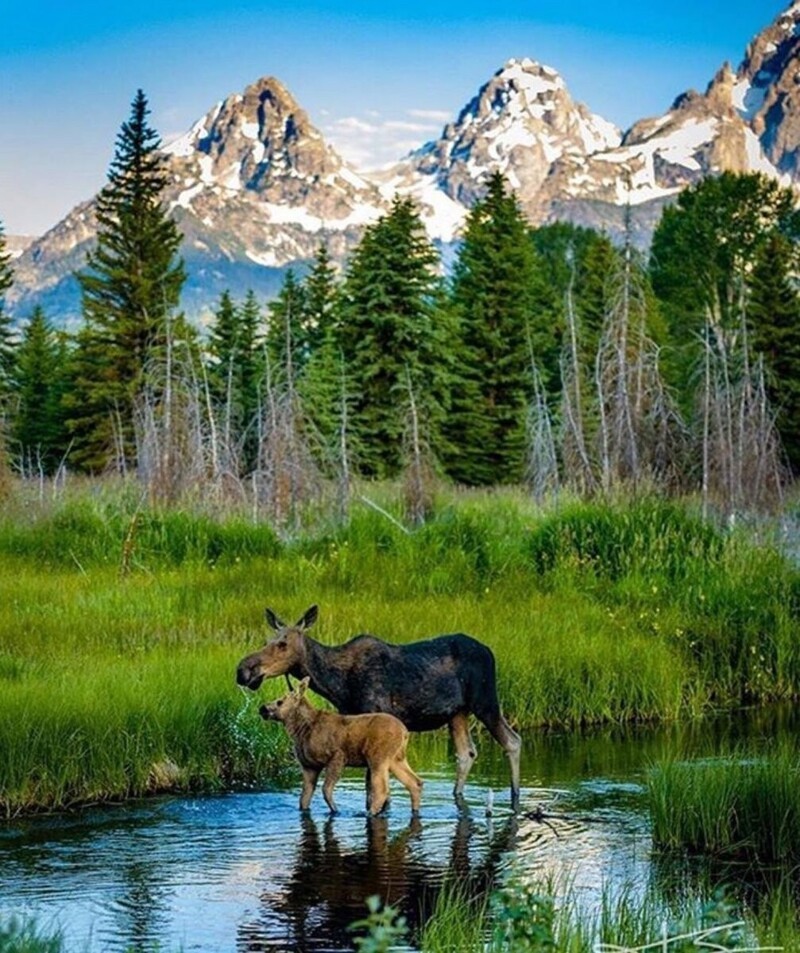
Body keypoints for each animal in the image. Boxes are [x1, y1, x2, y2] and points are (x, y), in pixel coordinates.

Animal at [262, 672, 424, 816]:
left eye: (280, 701)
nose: (262, 709)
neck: (300, 730)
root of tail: (405, 732)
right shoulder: (309, 766)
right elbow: (304, 800)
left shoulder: (337, 756)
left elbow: (326, 790)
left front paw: (336, 810)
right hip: (396, 758)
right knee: (415, 782)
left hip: (378, 757)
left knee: (382, 790)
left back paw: (369, 813)